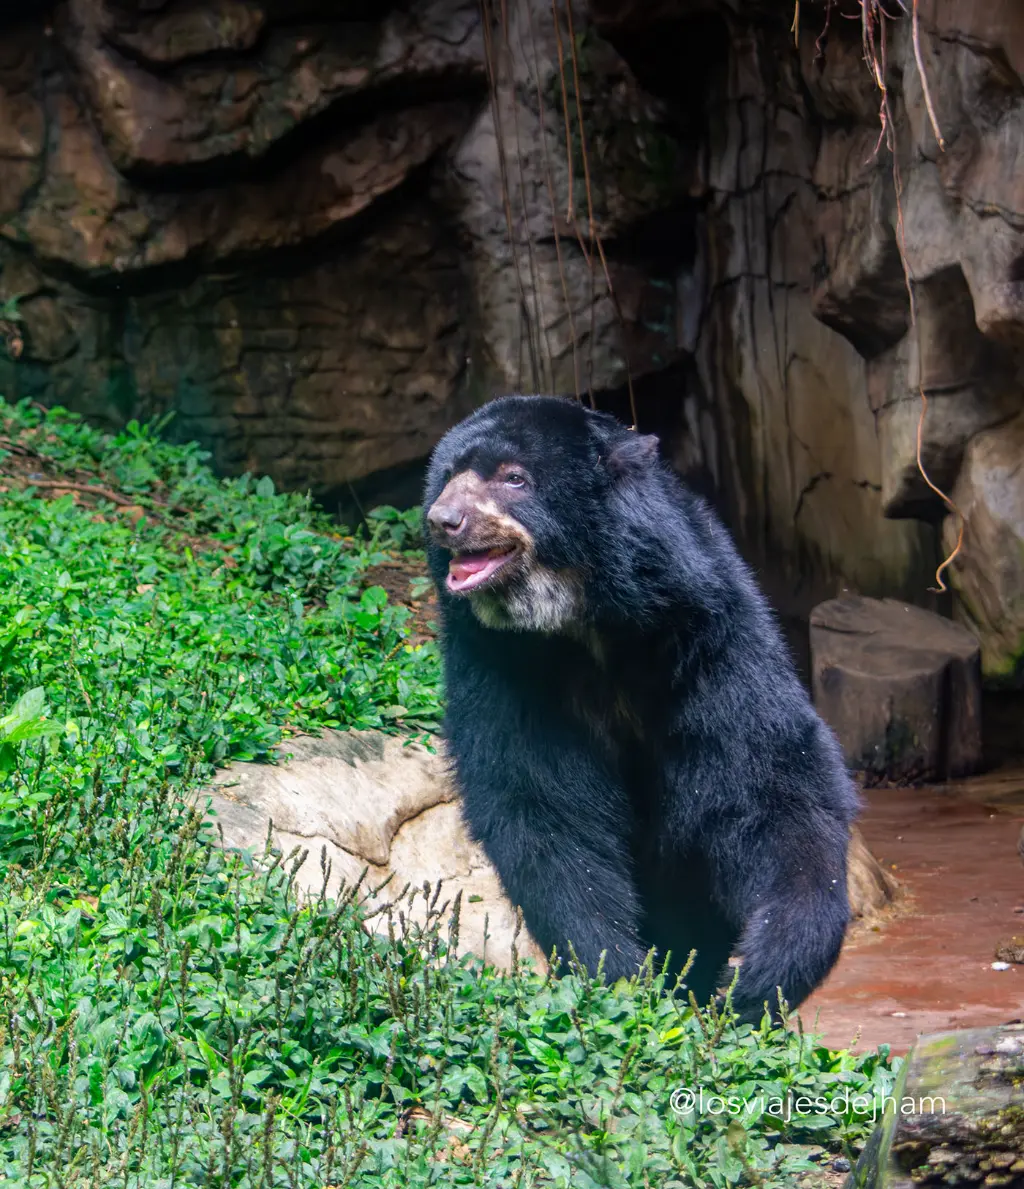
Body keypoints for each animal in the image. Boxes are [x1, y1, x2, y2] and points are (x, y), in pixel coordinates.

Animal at [422, 394, 858, 1023]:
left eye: (514, 477)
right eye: (449, 474)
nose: (444, 519)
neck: (587, 621)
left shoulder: (708, 634)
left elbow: (767, 777)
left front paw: (758, 976)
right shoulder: (503, 664)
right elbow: (543, 805)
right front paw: (621, 976)